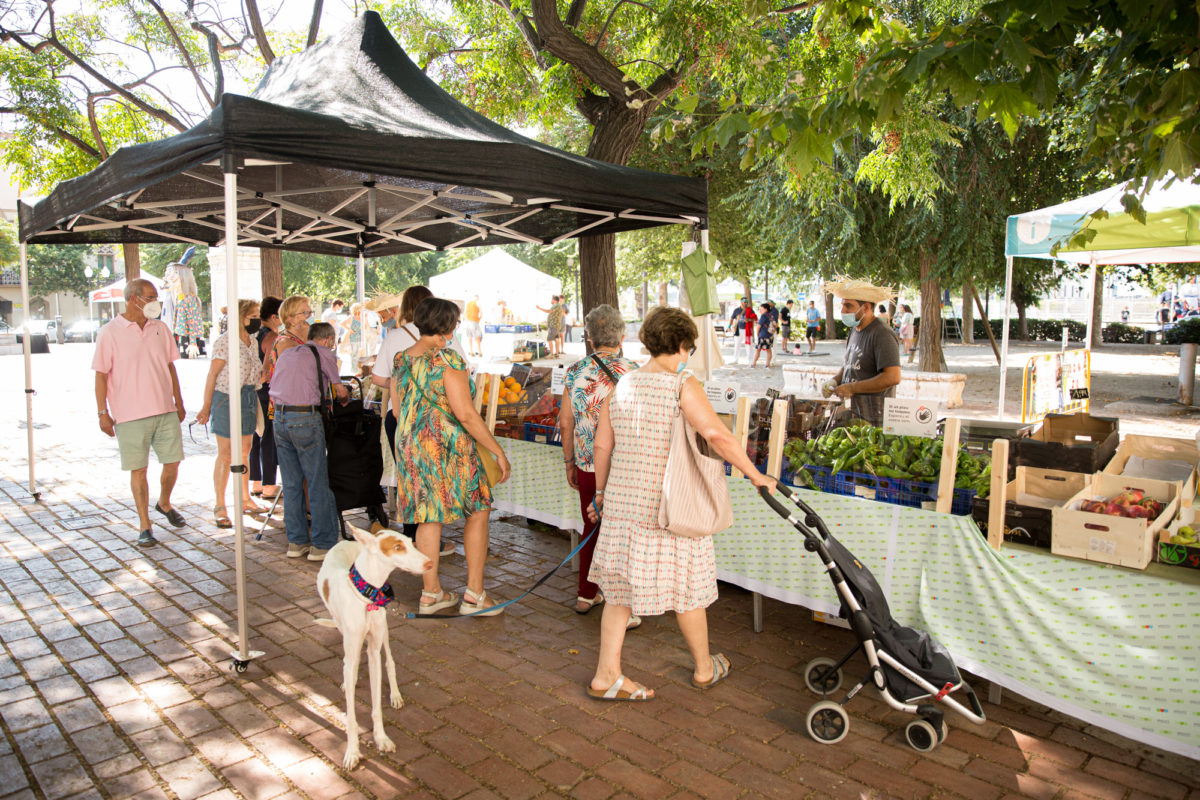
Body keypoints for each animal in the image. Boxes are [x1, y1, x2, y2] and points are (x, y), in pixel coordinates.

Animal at [319, 525, 432, 767]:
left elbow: (376, 705)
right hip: (342, 628)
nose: (430, 564)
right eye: (397, 547)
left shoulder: (374, 650)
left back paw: (395, 695)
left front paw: (381, 738)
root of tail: (349, 540)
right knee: (349, 665)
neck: (366, 596)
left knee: (389, 661)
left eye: (409, 541)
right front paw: (352, 751)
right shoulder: (352, 647)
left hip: (385, 632)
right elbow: (351, 714)